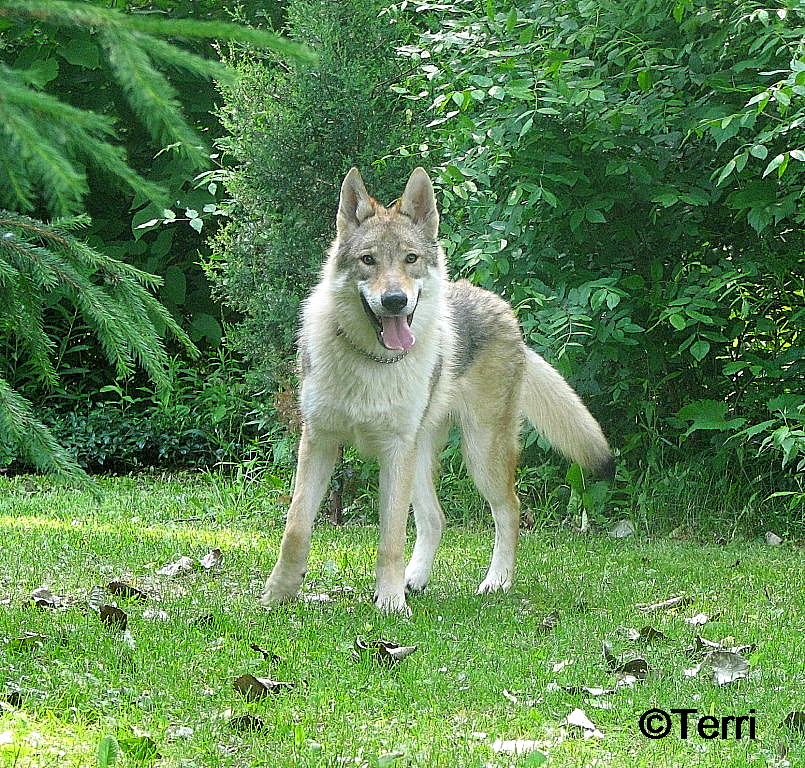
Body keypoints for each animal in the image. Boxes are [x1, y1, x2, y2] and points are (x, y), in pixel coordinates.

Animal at [260, 166, 612, 612]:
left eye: (410, 259)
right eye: (368, 260)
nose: (395, 300)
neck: (371, 363)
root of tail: (504, 309)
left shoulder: (395, 452)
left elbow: (390, 539)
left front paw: (390, 603)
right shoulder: (319, 441)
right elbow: (296, 528)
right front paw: (277, 595)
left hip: (478, 454)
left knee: (509, 511)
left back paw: (496, 581)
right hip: (423, 457)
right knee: (436, 519)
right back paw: (415, 579)